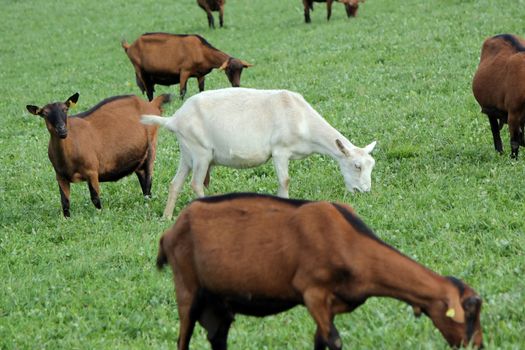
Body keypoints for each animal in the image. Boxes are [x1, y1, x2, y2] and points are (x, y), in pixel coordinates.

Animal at [26, 93, 170, 219]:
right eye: (44, 114)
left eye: (65, 109)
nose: (62, 130)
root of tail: (152, 104)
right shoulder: (60, 176)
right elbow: (65, 203)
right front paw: (67, 220)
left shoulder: (92, 171)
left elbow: (95, 198)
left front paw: (100, 216)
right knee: (143, 178)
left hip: (152, 147)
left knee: (148, 181)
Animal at [123, 32, 254, 100]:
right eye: (229, 69)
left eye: (241, 70)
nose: (236, 85)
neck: (202, 51)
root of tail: (129, 47)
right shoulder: (184, 72)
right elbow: (182, 91)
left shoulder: (200, 75)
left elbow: (201, 90)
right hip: (140, 71)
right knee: (149, 93)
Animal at [140, 87, 376, 219]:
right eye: (356, 166)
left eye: (371, 165)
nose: (364, 191)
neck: (303, 120)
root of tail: (174, 119)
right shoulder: (280, 151)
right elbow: (285, 180)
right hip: (201, 152)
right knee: (196, 184)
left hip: (187, 152)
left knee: (175, 183)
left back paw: (167, 217)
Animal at [156, 193, 484, 348]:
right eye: (467, 314)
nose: (478, 345)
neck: (350, 242)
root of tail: (171, 231)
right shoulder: (312, 292)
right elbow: (334, 341)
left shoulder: (332, 304)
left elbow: (321, 341)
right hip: (187, 288)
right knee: (182, 339)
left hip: (219, 302)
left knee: (217, 338)